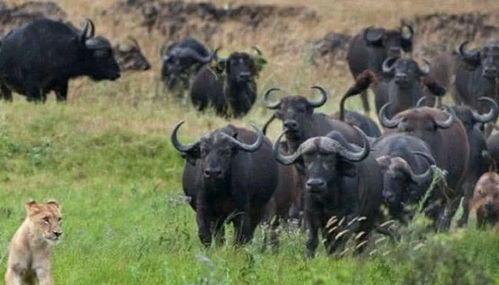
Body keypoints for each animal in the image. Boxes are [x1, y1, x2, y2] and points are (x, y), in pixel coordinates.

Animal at [274, 126, 382, 258]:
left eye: (330, 161)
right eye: (307, 161)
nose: (315, 184)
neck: (329, 199)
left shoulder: (351, 218)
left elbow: (340, 238)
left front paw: (337, 256)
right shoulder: (311, 215)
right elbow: (312, 240)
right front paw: (308, 257)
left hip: (368, 221)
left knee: (360, 243)